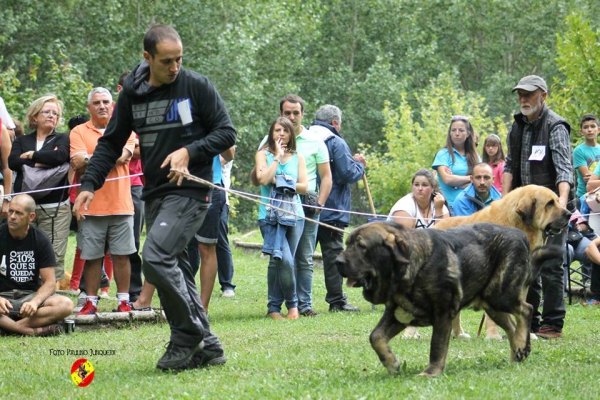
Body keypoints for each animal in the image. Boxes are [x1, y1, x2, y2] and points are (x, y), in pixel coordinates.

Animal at [338, 220, 564, 376]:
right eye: (347, 244)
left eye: (362, 247)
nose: (337, 261)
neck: (412, 268)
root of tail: (521, 235)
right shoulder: (397, 315)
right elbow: (375, 337)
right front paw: (392, 364)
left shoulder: (443, 313)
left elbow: (436, 346)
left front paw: (430, 373)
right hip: (493, 305)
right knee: (511, 326)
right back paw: (518, 351)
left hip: (501, 295)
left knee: (526, 310)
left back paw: (519, 346)